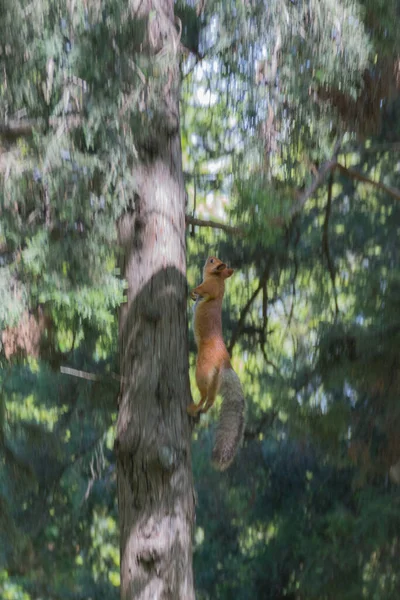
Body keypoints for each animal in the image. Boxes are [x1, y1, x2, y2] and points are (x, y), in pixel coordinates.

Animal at [187, 255, 245, 472]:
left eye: (212, 261)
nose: (208, 256)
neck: (218, 279)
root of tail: (225, 362)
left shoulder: (209, 288)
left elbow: (201, 290)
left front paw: (192, 292)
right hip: (213, 380)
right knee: (211, 399)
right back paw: (202, 409)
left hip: (202, 371)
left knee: (204, 395)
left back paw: (194, 407)